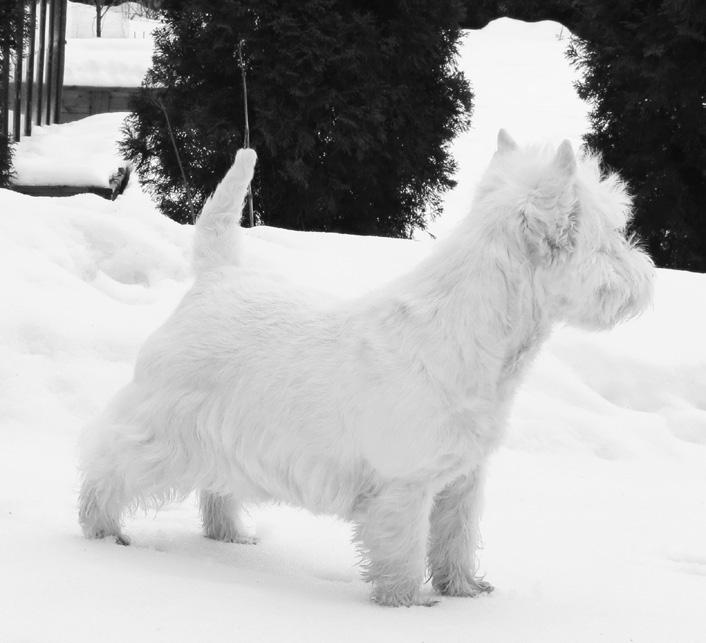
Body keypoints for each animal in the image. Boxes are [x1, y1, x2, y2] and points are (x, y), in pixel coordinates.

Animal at [80, 132, 652, 608]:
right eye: (612, 238)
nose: (645, 280)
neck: (481, 344)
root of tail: (214, 278)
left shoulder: (462, 479)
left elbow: (456, 539)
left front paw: (466, 590)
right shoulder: (407, 483)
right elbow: (404, 547)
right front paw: (408, 603)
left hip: (225, 434)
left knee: (215, 483)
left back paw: (231, 535)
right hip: (162, 423)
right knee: (108, 466)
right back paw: (102, 531)